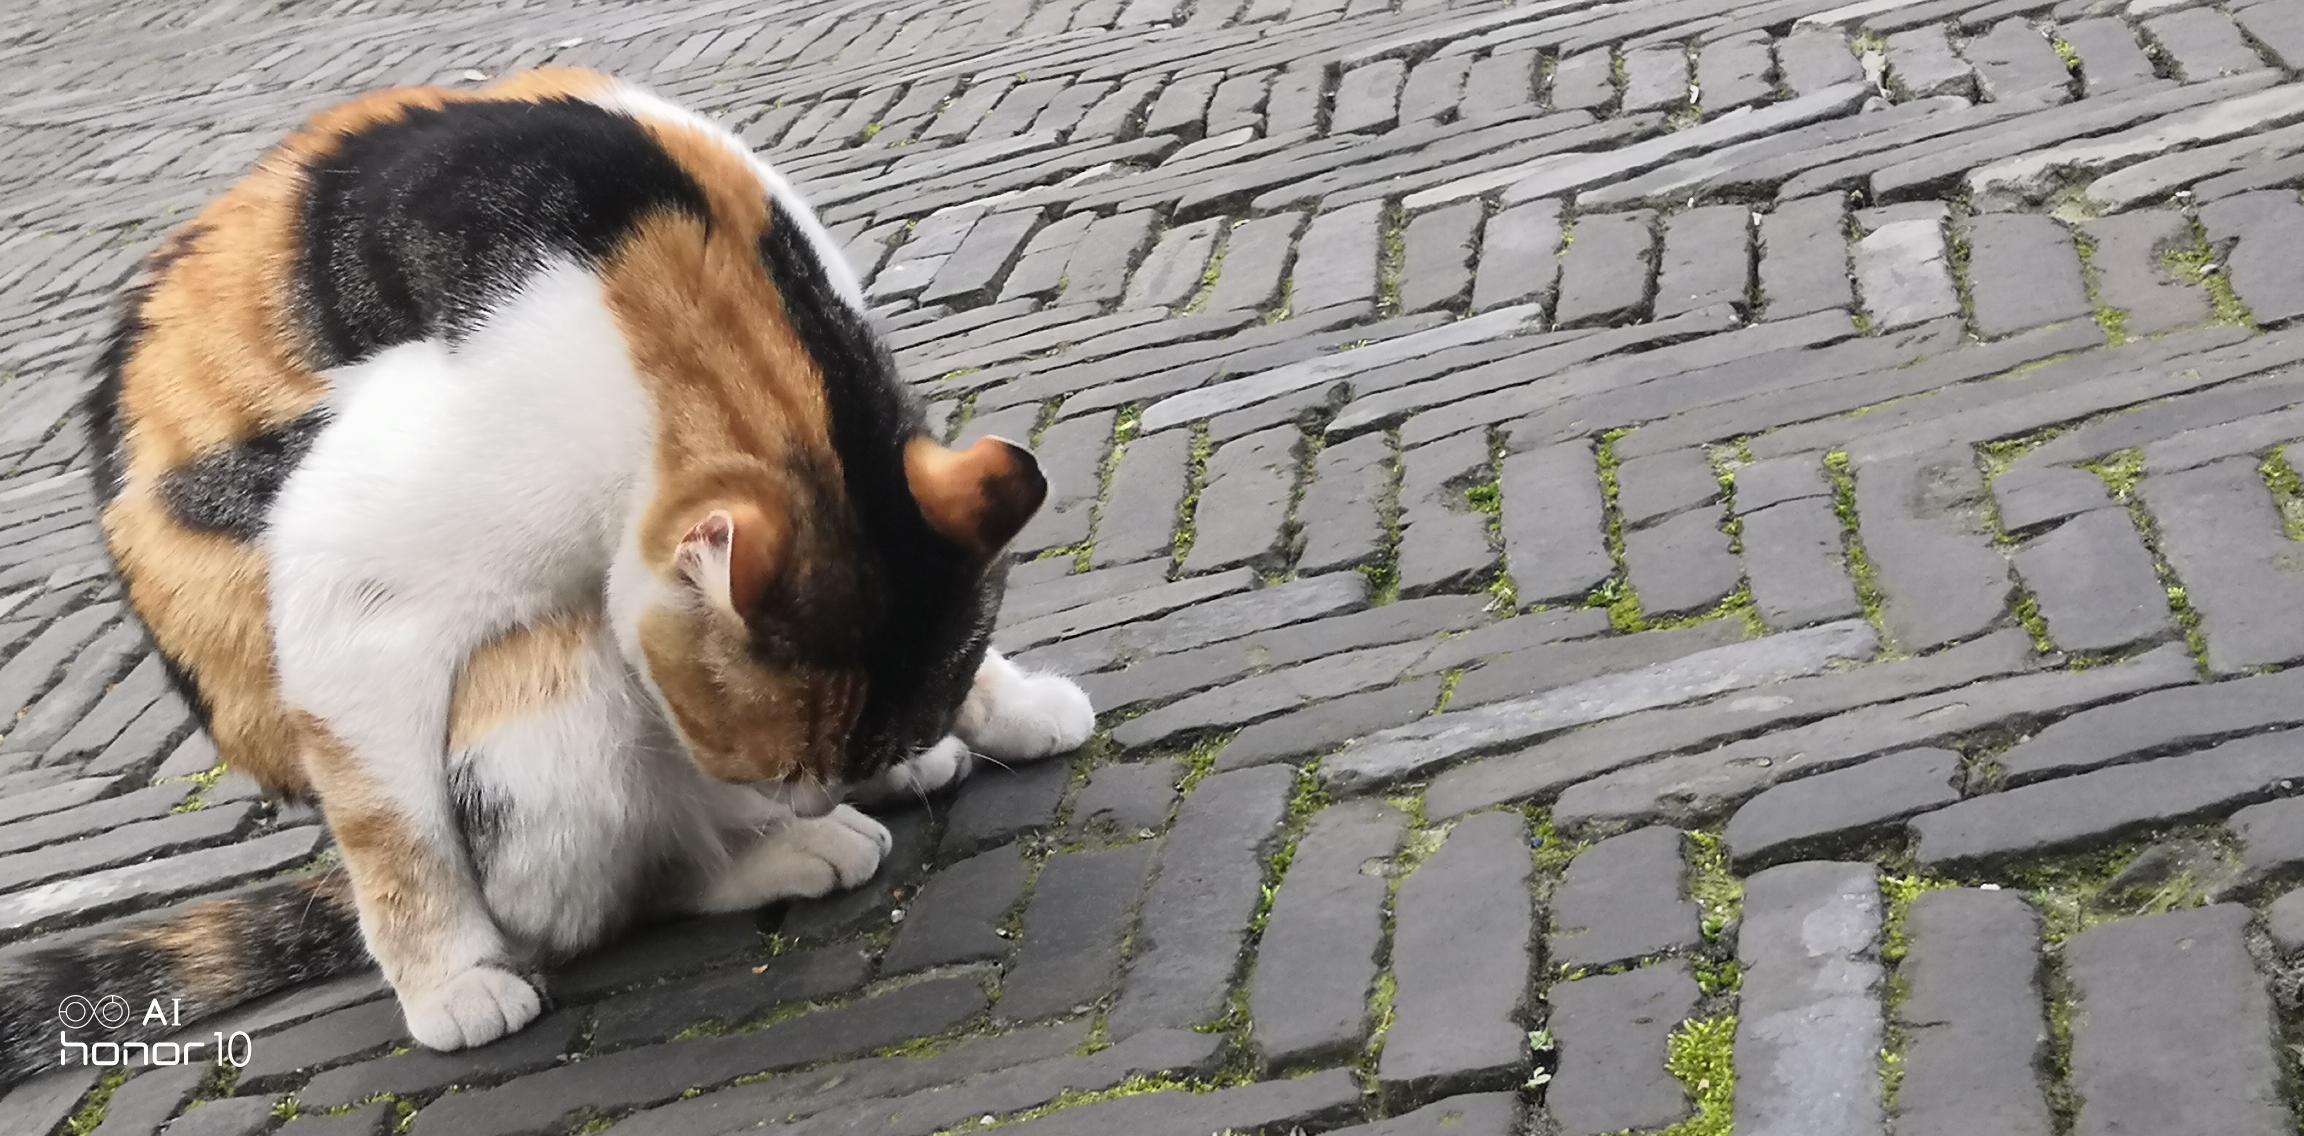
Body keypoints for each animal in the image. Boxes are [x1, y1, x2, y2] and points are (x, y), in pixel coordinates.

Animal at [0, 67, 1094, 1087]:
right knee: (602, 890)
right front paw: (450, 979)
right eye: (777, 767)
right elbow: (398, 836)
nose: (812, 796)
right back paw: (771, 854)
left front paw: (1006, 703)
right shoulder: (355, 597)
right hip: (545, 684)